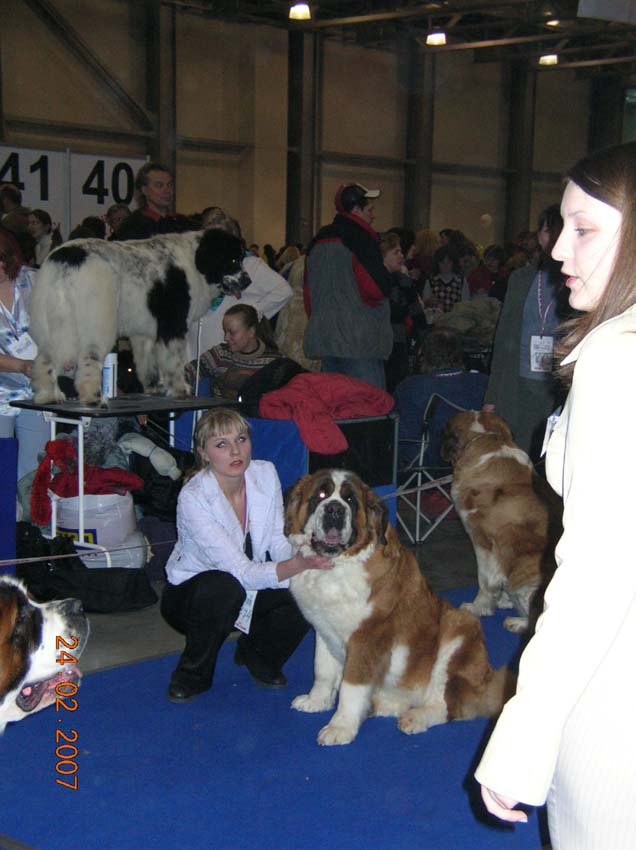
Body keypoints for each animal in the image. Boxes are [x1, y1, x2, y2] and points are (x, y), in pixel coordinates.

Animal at [30, 228, 251, 405]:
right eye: (232, 259)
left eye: (241, 259)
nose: (248, 280)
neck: (195, 262)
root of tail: (67, 258)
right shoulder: (173, 325)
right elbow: (174, 361)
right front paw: (180, 389)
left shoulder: (145, 332)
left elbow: (147, 361)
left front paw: (154, 387)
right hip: (97, 322)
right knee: (88, 359)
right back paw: (93, 397)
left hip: (53, 321)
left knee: (45, 359)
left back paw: (49, 395)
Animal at [285, 470, 515, 746]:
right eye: (320, 495)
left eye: (350, 501)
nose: (334, 509)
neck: (336, 567)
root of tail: (488, 679)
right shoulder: (323, 629)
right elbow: (322, 670)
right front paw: (316, 701)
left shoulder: (366, 638)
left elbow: (351, 686)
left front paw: (340, 727)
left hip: (459, 625)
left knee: (447, 706)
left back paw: (415, 718)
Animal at [440, 410, 562, 633]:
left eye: (444, 432)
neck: (487, 437)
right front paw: (504, 599)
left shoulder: (483, 542)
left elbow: (486, 581)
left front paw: (478, 607)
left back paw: (518, 621)